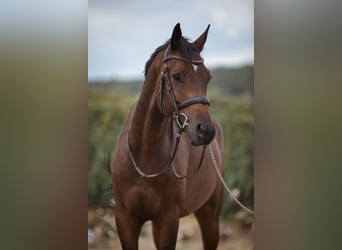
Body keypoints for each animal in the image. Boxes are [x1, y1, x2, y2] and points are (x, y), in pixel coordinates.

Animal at [112, 22, 224, 249]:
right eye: (177, 76)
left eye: (207, 77)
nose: (205, 131)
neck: (144, 157)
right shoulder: (125, 219)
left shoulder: (168, 220)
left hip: (209, 214)